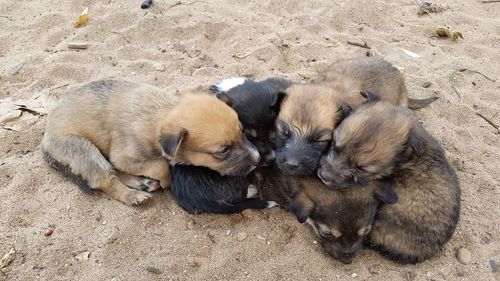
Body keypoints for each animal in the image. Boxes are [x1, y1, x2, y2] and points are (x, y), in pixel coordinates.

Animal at [43, 80, 260, 205]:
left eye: (243, 132)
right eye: (223, 151)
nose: (258, 159)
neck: (160, 111)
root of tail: (45, 140)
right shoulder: (125, 157)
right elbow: (160, 165)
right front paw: (165, 180)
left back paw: (143, 184)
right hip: (84, 150)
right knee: (106, 179)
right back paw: (132, 195)